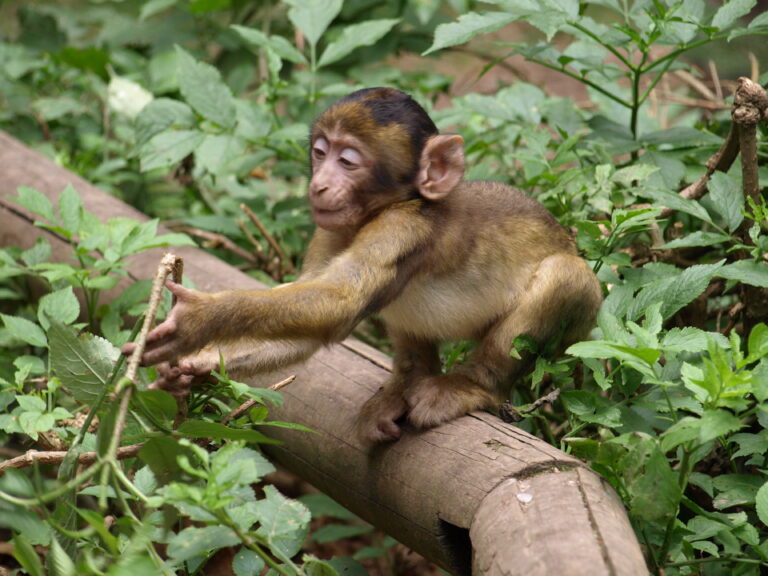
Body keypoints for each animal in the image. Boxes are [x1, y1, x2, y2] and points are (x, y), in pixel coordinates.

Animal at [123, 87, 602, 444]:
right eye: (320, 152)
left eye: (347, 160)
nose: (319, 184)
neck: (386, 208)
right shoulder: (330, 229)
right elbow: (307, 332)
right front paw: (194, 368)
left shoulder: (402, 228)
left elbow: (340, 302)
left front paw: (200, 319)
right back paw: (405, 384)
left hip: (580, 329)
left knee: (566, 276)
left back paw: (469, 386)